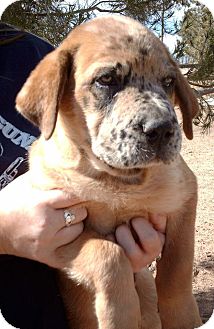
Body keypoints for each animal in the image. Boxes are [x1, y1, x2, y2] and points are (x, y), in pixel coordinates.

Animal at [15, 15, 201, 328]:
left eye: (168, 82)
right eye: (106, 80)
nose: (162, 128)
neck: (118, 181)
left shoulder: (184, 199)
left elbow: (177, 269)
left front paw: (184, 317)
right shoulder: (58, 238)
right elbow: (109, 256)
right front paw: (119, 315)